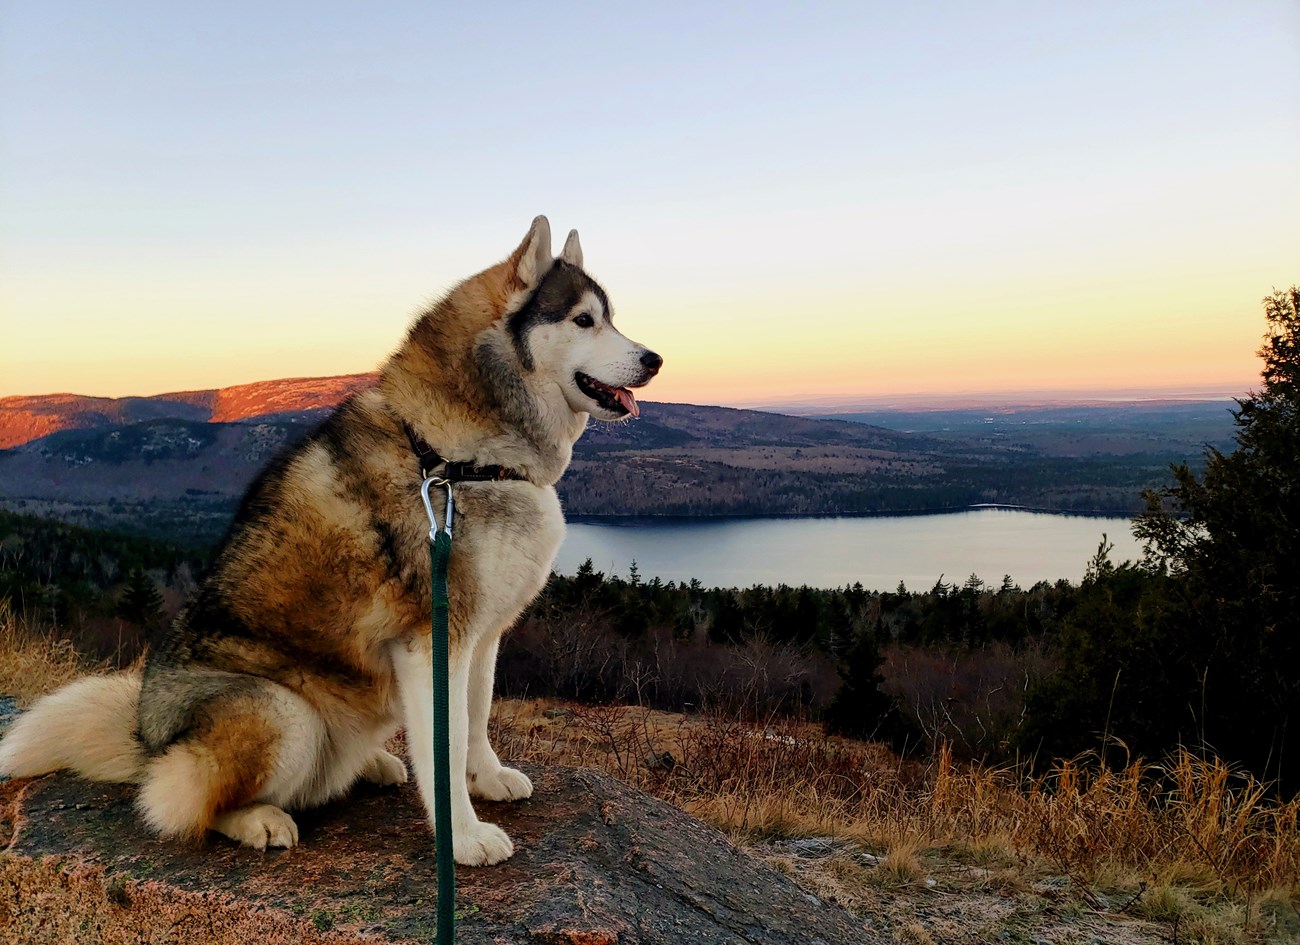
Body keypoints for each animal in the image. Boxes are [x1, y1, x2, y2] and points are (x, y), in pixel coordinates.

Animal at [0, 215, 660, 863]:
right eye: (583, 320)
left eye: (611, 317)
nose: (654, 359)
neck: (453, 460)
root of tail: (146, 735)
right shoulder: (433, 642)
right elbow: (443, 748)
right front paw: (465, 837)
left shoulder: (482, 634)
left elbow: (475, 718)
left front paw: (488, 778)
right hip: (282, 712)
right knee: (180, 802)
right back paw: (259, 820)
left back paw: (371, 765)